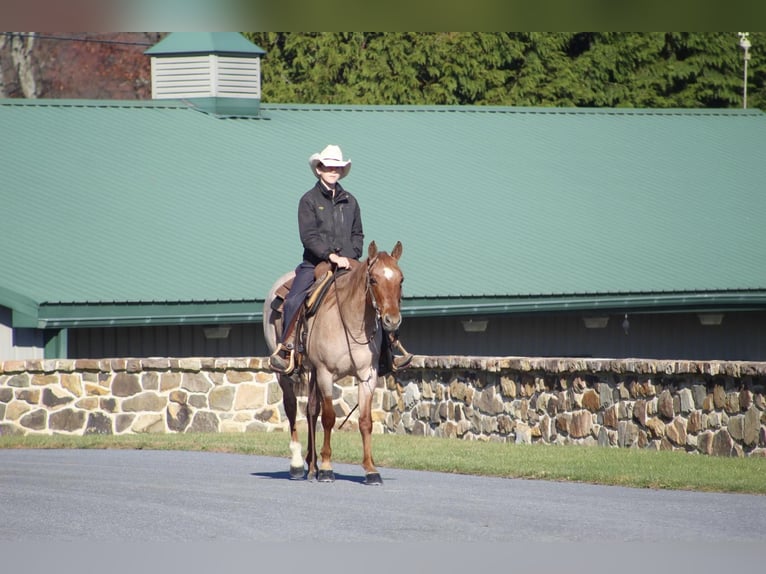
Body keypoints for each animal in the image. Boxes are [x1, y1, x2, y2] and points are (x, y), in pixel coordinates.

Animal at [264, 241, 404, 488]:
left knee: (311, 409)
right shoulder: (325, 372)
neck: (351, 321)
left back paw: (312, 465)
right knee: (292, 408)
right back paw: (298, 464)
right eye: (373, 279)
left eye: (401, 280)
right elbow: (328, 418)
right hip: (285, 373)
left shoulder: (367, 376)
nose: (392, 320)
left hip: (312, 373)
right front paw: (327, 468)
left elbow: (365, 421)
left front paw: (371, 470)